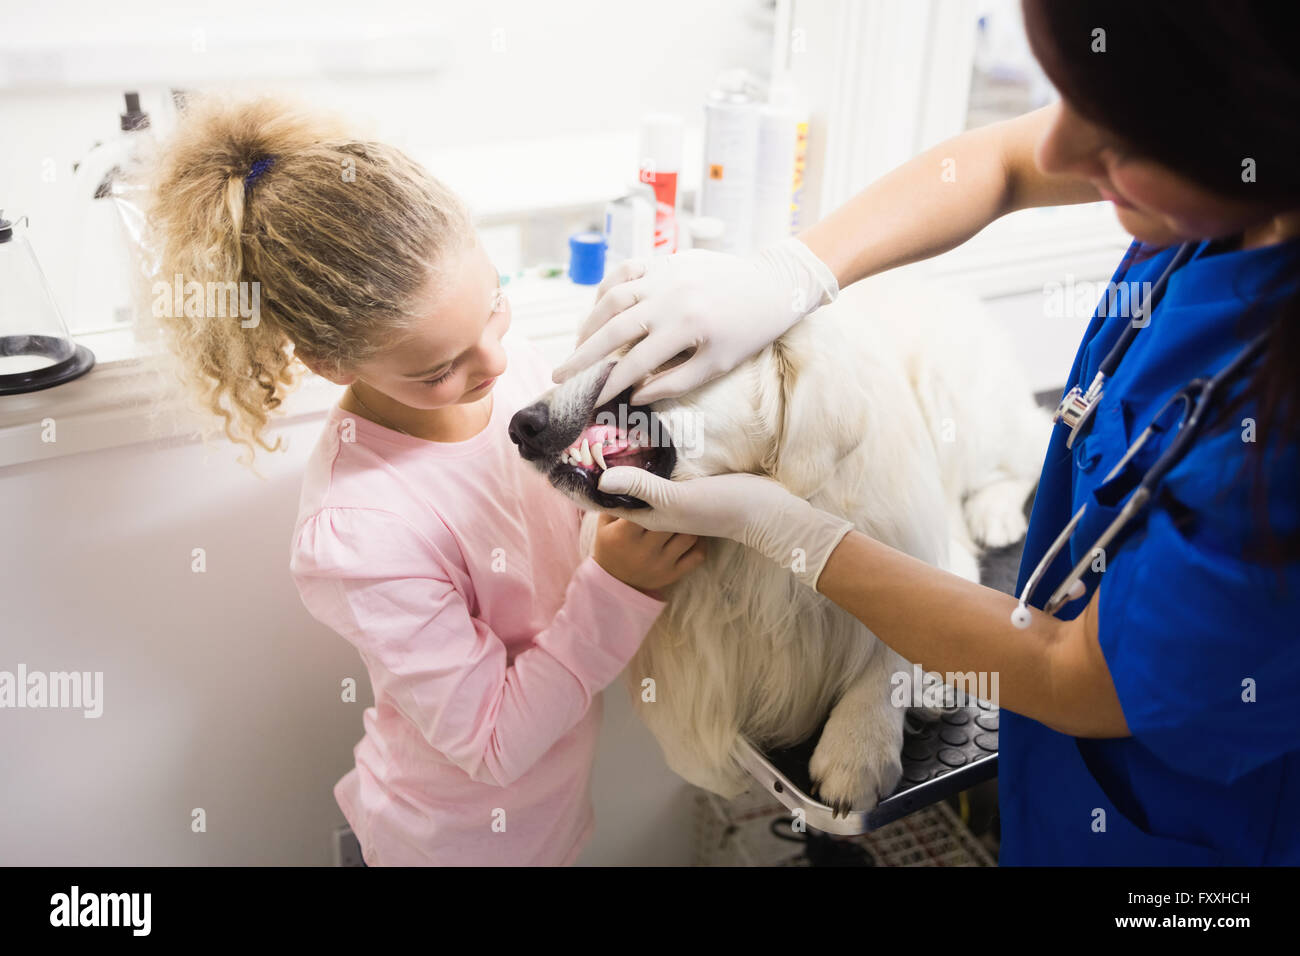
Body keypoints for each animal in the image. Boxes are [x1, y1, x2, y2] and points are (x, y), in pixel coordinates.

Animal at [506, 277, 1045, 816]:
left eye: (653, 348)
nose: (520, 426)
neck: (745, 556)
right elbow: (692, 748)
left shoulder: (934, 548)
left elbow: (894, 638)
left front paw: (860, 744)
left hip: (955, 401)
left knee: (1033, 447)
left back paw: (995, 512)